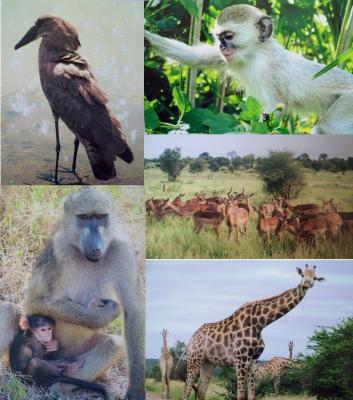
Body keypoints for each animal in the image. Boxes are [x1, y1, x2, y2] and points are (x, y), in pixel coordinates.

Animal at [144, 3, 352, 134]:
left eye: (228, 36)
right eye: (219, 37)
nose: (221, 47)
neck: (255, 54)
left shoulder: (270, 70)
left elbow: (276, 107)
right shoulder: (228, 59)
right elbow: (197, 57)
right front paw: (146, 38)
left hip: (347, 102)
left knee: (326, 126)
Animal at [183, 264, 324, 398]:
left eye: (315, 277)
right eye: (302, 275)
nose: (307, 283)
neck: (259, 324)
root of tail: (192, 337)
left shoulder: (253, 361)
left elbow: (251, 395)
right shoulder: (241, 359)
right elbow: (240, 395)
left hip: (208, 363)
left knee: (201, 390)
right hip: (193, 360)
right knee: (187, 389)